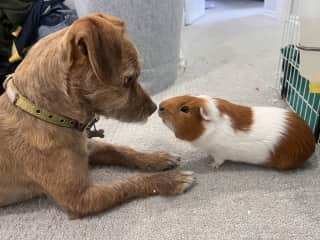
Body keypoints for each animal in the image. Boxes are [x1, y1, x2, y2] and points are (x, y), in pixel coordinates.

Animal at [0, 14, 192, 218]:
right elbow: (128, 184)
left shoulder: (88, 147)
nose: (154, 107)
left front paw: (157, 158)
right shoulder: (80, 199)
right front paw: (170, 180)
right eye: (129, 79)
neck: (45, 114)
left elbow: (122, 151)